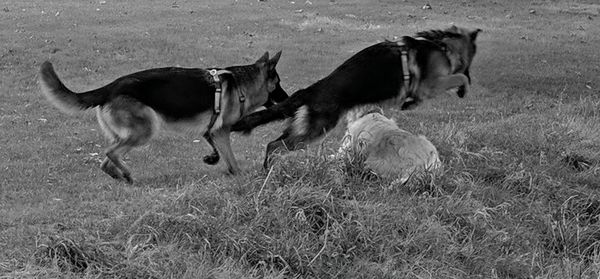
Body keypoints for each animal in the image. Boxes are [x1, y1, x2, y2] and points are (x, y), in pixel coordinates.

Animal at [39, 51, 288, 184]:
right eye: (278, 83)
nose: (288, 98)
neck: (241, 85)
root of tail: (110, 87)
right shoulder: (221, 131)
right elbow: (232, 160)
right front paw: (240, 176)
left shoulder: (211, 130)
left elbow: (218, 151)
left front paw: (212, 159)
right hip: (145, 129)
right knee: (111, 153)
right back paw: (127, 173)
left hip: (124, 133)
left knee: (105, 162)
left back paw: (122, 177)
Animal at [232, 26, 480, 168]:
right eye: (469, 62)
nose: (470, 73)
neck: (440, 44)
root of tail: (312, 90)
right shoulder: (431, 85)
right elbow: (458, 77)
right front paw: (462, 86)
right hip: (314, 130)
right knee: (273, 146)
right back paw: (268, 172)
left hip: (305, 128)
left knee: (273, 144)